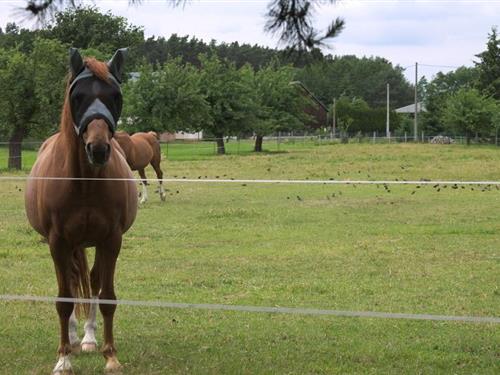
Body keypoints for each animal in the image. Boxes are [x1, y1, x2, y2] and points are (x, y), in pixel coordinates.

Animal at [24, 48, 136, 374]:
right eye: (77, 97)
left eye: (115, 96)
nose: (97, 149)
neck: (85, 182)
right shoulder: (58, 242)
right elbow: (63, 299)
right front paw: (63, 358)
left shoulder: (111, 241)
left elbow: (107, 296)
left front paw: (111, 357)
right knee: (72, 282)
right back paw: (73, 338)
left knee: (92, 282)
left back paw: (87, 338)